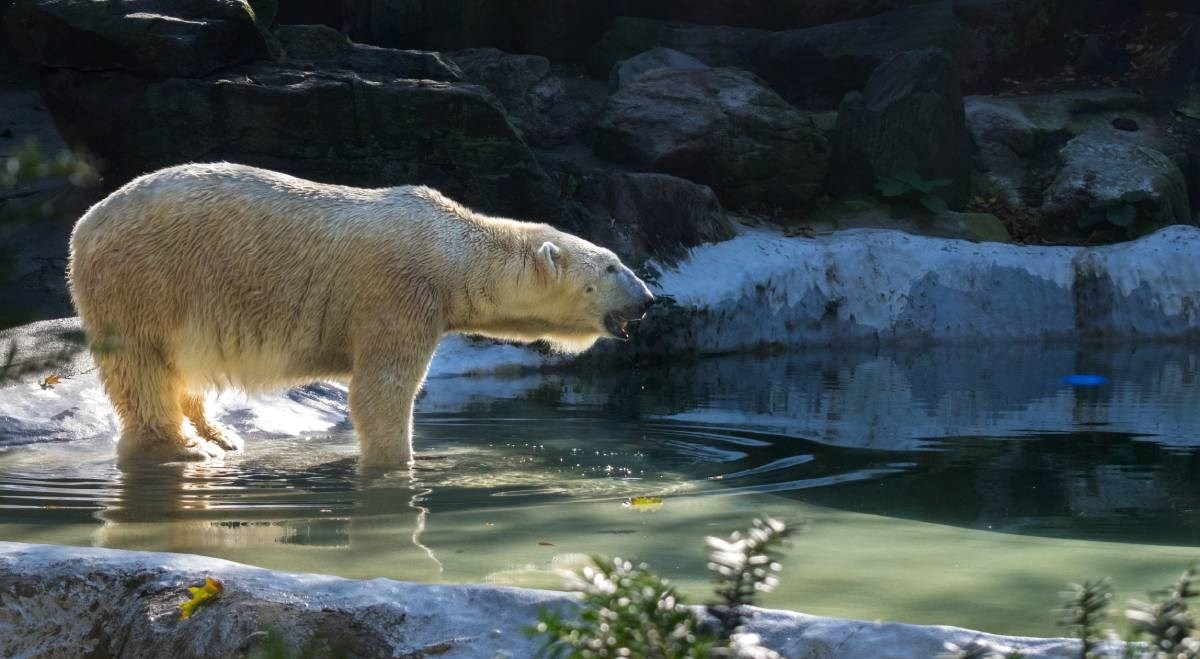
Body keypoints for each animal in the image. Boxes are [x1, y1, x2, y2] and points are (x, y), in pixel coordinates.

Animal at [68, 162, 657, 465]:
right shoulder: (400, 294)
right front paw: (396, 464)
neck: (452, 251)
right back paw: (185, 446)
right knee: (142, 366)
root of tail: (85, 225)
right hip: (146, 279)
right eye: (612, 266)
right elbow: (382, 390)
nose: (649, 299)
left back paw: (219, 434)